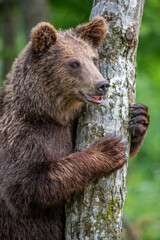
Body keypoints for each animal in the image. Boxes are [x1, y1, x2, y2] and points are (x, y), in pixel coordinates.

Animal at [0, 15, 149, 239]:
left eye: (94, 59)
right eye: (74, 63)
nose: (102, 84)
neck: (48, 112)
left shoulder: (70, 125)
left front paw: (139, 117)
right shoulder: (20, 135)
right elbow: (26, 185)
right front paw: (108, 149)